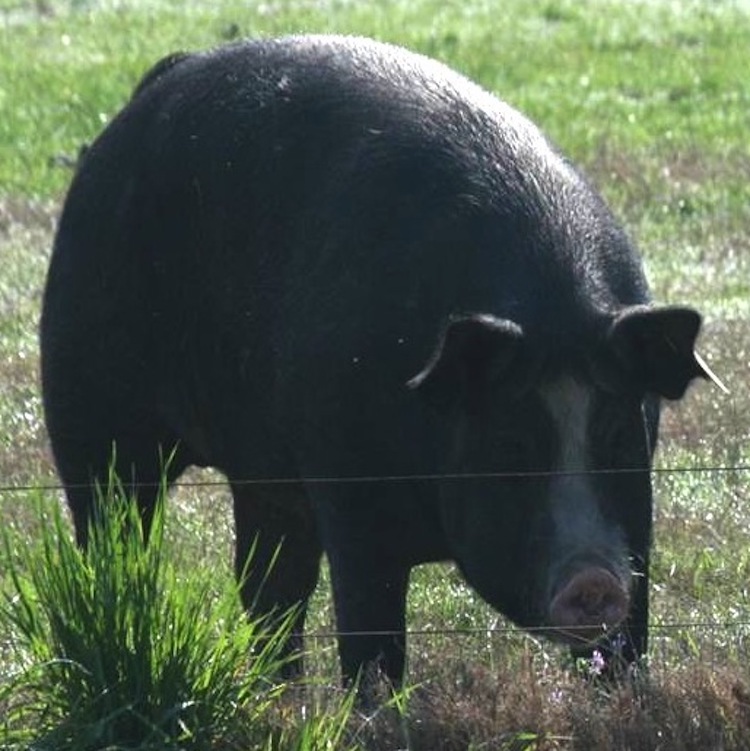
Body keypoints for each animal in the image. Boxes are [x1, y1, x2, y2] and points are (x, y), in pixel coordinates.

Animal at [39, 38, 716, 692]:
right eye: (512, 443)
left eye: (615, 435)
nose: (592, 580)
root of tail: (151, 92)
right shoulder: (350, 496)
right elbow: (372, 642)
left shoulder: (637, 526)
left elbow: (629, 643)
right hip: (88, 408)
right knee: (116, 530)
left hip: (265, 476)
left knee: (268, 586)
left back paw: (279, 699)